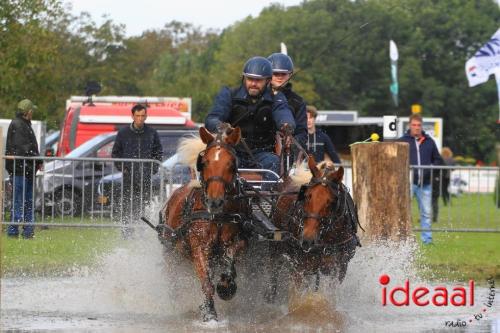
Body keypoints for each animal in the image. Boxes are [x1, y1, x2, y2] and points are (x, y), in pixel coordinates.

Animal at [158, 126, 248, 320]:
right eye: (204, 162)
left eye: (231, 163)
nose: (215, 202)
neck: (218, 217)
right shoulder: (199, 246)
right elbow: (206, 282)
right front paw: (209, 312)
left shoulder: (242, 240)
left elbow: (229, 258)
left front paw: (226, 286)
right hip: (171, 253)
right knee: (173, 279)